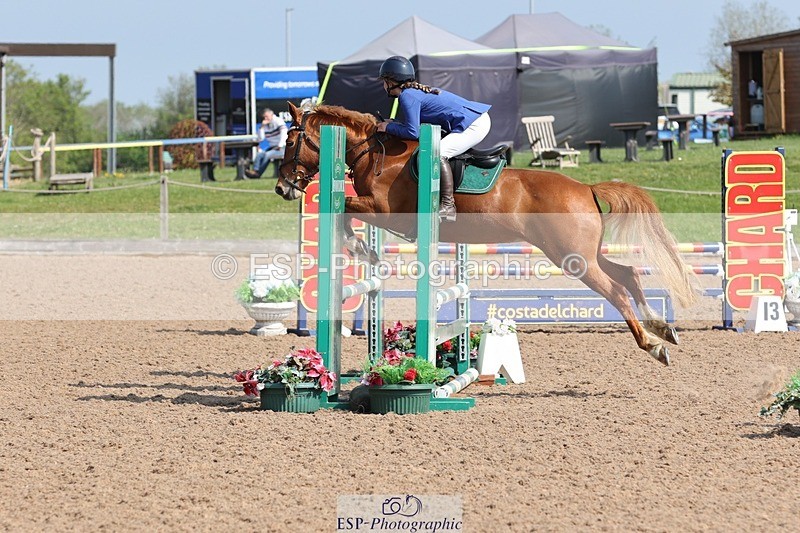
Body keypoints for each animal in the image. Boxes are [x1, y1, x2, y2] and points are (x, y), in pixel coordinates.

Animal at [275, 102, 700, 365]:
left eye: (291, 141)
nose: (283, 188)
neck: (372, 152)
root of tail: (586, 188)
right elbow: (344, 208)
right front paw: (365, 249)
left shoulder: (386, 211)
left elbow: (344, 206)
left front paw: (359, 246)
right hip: (583, 254)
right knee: (626, 274)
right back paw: (662, 328)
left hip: (571, 258)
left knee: (615, 290)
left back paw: (652, 346)